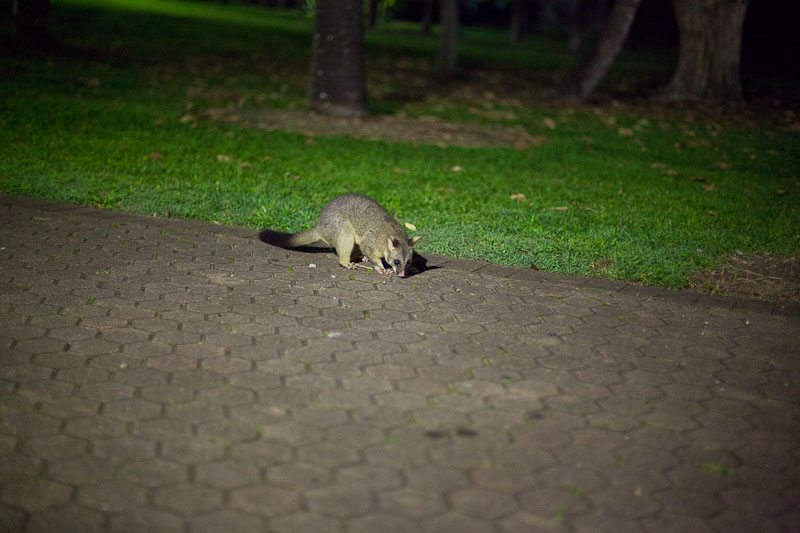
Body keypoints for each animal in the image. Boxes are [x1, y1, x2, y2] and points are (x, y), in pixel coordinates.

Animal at [259, 194, 421, 278]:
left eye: (407, 262)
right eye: (397, 262)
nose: (402, 274)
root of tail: (320, 226)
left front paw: (413, 269)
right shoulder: (372, 242)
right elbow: (369, 250)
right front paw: (380, 267)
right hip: (334, 227)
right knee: (346, 231)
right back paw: (345, 262)